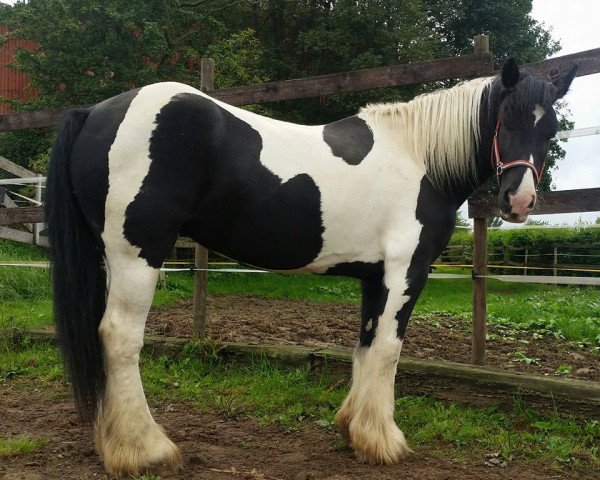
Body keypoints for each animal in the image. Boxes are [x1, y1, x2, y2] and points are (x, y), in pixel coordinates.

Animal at [44, 58, 580, 474]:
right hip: (138, 253)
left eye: (549, 127)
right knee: (119, 337)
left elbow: (366, 345)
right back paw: (146, 450)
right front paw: (384, 441)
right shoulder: (406, 271)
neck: (421, 157)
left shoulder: (375, 276)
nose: (519, 201)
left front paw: (353, 430)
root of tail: (93, 113)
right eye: (505, 120)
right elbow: (389, 351)